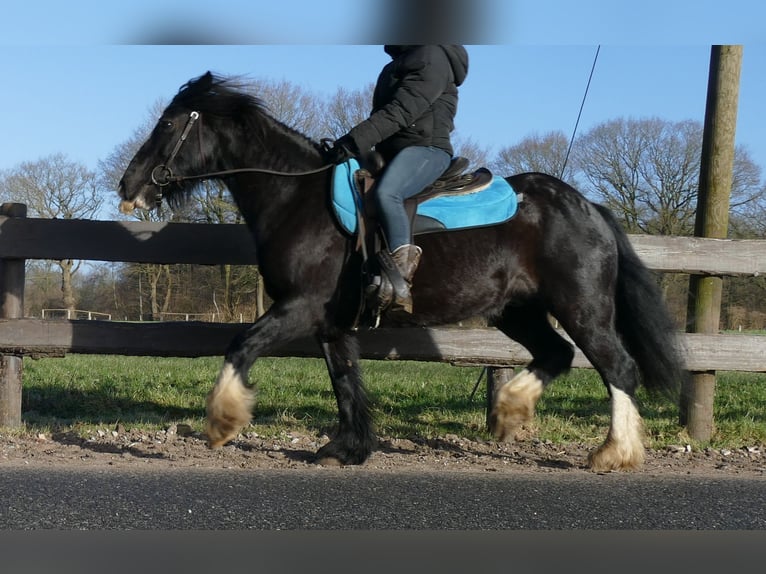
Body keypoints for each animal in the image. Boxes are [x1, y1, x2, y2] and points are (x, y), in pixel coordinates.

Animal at [121, 73, 688, 472]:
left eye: (168, 124)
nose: (129, 186)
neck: (298, 197)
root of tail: (588, 206)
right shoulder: (331, 323)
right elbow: (345, 382)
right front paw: (348, 449)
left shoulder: (301, 307)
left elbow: (241, 345)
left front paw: (222, 422)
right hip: (515, 310)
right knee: (556, 354)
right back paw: (509, 412)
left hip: (582, 307)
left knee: (618, 368)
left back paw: (613, 453)